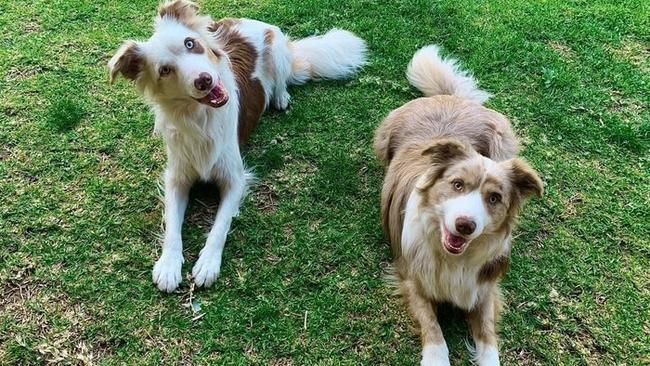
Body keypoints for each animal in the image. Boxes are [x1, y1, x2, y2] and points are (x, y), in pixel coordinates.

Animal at [109, 0, 368, 292]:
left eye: (190, 43)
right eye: (164, 70)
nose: (204, 79)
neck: (200, 118)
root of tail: (247, 21)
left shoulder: (235, 179)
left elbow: (219, 226)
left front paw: (208, 263)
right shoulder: (176, 178)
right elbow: (172, 225)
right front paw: (168, 264)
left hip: (277, 47)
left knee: (282, 80)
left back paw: (281, 97)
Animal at [372, 46, 540, 366]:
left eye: (494, 198)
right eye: (457, 184)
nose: (465, 225)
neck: (453, 260)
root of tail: (449, 97)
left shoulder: (484, 288)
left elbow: (487, 338)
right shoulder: (411, 278)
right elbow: (434, 329)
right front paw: (435, 358)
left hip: (502, 141)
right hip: (383, 136)